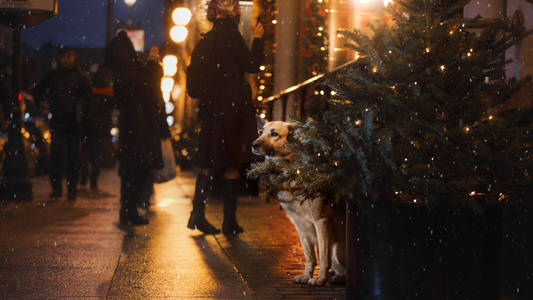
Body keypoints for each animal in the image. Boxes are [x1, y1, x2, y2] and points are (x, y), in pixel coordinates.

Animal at [252, 118, 348, 284]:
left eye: (274, 134)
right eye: (260, 132)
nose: (254, 144)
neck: (291, 172)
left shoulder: (321, 221)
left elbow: (324, 257)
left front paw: (320, 278)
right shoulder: (300, 226)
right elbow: (309, 256)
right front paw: (307, 275)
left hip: (337, 247)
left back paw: (336, 277)